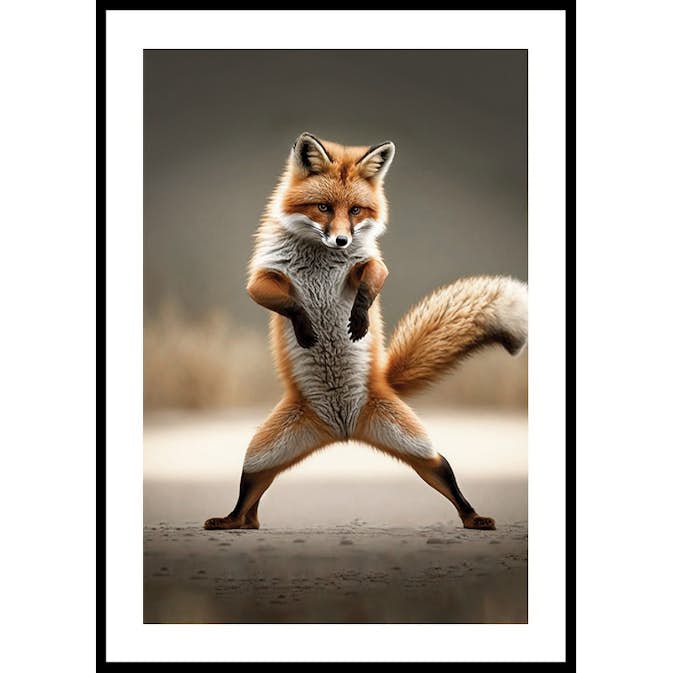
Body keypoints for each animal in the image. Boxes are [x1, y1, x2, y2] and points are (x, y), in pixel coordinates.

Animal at [204, 132, 527, 532]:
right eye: (323, 207)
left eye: (356, 211)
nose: (341, 241)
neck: (320, 259)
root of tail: (342, 431)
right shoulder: (264, 276)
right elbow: (289, 303)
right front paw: (307, 326)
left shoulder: (369, 263)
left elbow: (373, 279)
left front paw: (359, 318)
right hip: (261, 455)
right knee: (252, 493)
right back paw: (235, 521)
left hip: (415, 447)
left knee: (443, 471)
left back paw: (473, 518)